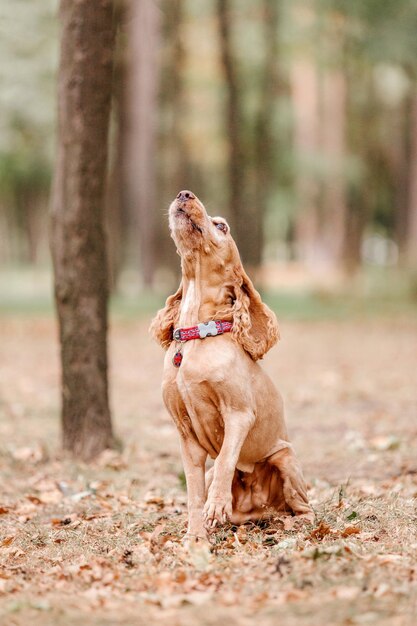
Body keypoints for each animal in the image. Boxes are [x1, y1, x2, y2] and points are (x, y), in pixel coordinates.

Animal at [150, 190, 312, 540]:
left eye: (221, 226)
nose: (185, 193)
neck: (196, 336)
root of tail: (260, 510)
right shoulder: (186, 434)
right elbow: (193, 492)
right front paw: (195, 536)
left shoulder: (239, 413)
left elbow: (225, 458)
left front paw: (216, 505)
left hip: (285, 457)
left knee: (304, 507)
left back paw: (291, 521)